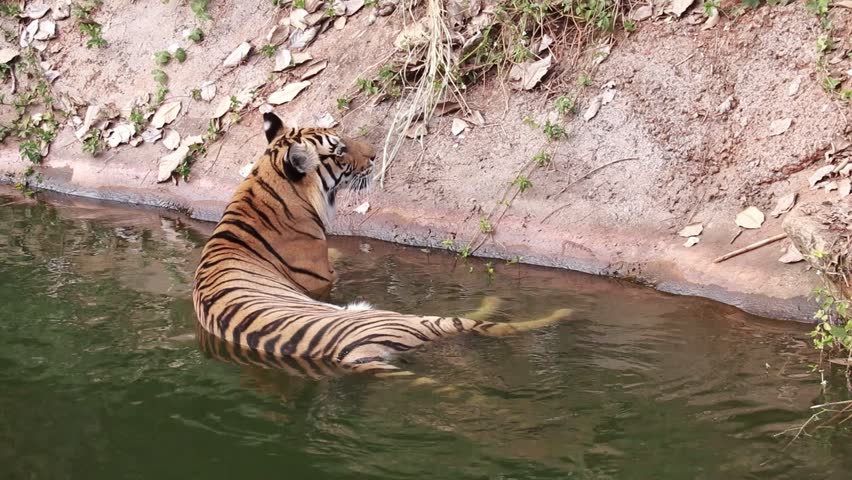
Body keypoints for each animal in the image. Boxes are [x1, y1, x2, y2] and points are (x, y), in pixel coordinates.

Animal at [192, 112, 572, 380]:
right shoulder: (322, 278)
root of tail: (355, 355)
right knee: (488, 324)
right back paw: (542, 311)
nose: (376, 155)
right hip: (399, 319)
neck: (264, 187)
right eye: (339, 149)